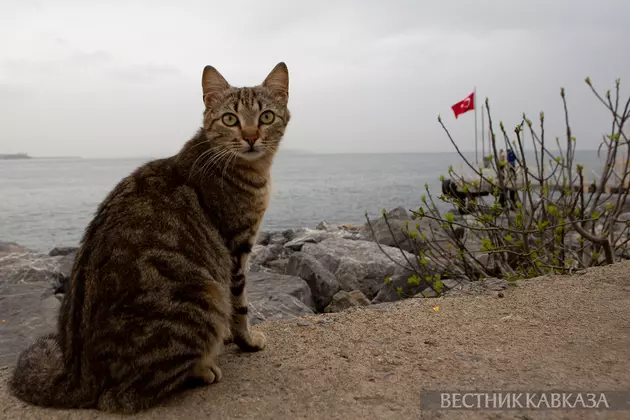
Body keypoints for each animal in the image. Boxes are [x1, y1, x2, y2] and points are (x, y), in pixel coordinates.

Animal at [10, 62, 292, 414]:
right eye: (230, 119)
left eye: (266, 116)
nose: (252, 137)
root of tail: (78, 374)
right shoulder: (236, 248)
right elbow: (240, 306)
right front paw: (247, 341)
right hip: (204, 294)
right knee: (121, 397)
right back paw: (202, 369)